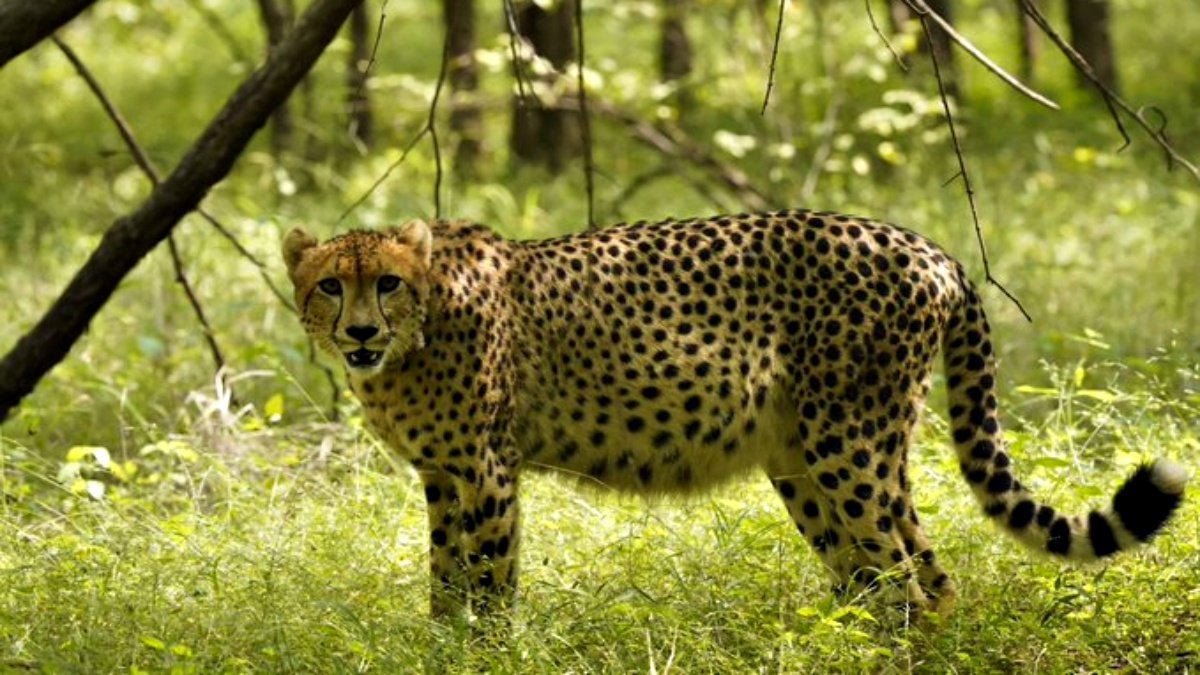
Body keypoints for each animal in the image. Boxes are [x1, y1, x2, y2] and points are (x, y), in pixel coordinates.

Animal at [282, 209, 1186, 619]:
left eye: (386, 282)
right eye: (331, 284)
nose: (359, 331)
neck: (416, 337)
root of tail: (923, 244)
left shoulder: (488, 470)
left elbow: (490, 580)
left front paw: (487, 652)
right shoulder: (442, 475)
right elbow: (443, 579)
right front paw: (442, 644)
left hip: (846, 447)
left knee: (898, 574)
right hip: (812, 460)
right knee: (914, 573)